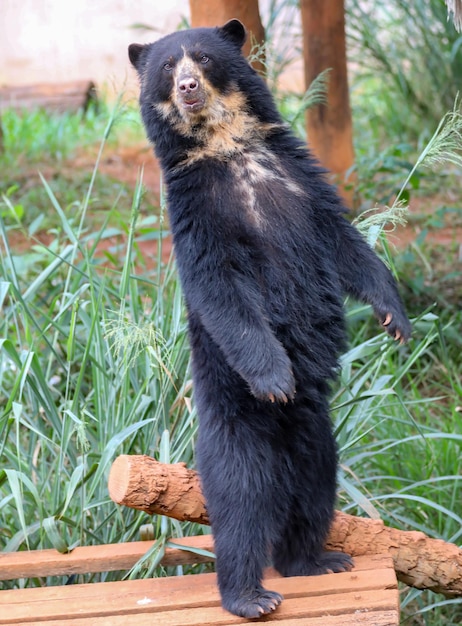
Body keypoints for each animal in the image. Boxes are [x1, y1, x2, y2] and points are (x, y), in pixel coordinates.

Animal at [127, 19, 412, 620]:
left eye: (203, 58)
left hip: (318, 436)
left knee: (314, 488)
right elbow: (222, 291)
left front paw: (395, 321)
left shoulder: (303, 180)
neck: (227, 145)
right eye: (166, 68)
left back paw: (315, 560)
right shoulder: (197, 211)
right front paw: (277, 377)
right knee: (241, 503)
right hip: (236, 426)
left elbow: (348, 244)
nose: (187, 87)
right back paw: (250, 594)